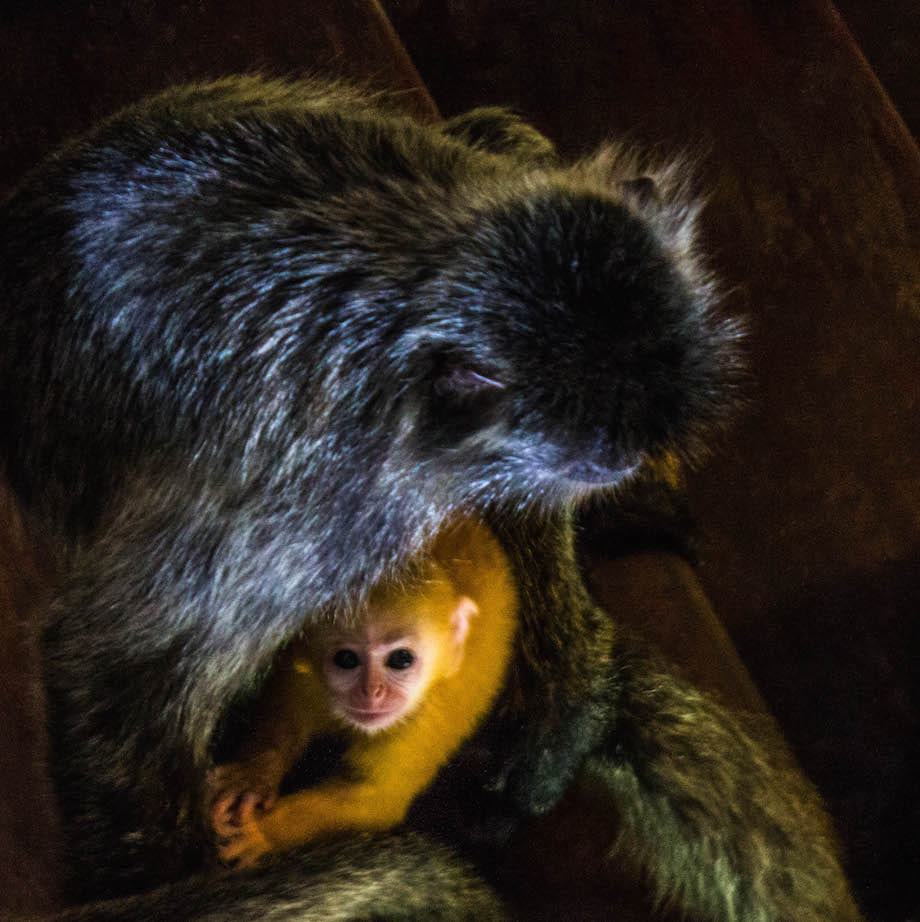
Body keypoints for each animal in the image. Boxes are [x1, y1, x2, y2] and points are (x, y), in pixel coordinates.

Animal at [207, 516, 517, 868]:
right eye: (346, 660)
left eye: (401, 659)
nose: (371, 692)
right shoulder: (307, 667)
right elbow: (288, 707)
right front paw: (253, 775)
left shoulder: (422, 724)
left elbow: (373, 799)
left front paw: (263, 832)